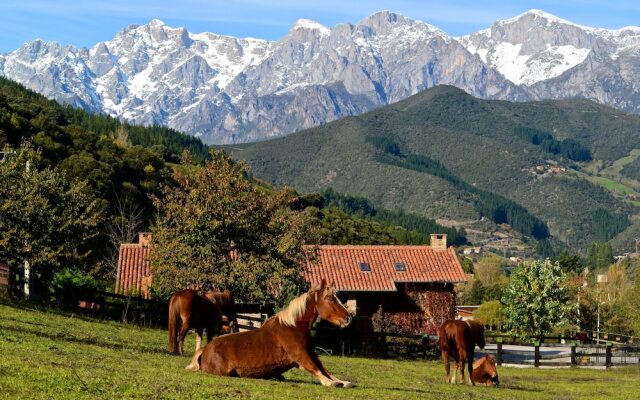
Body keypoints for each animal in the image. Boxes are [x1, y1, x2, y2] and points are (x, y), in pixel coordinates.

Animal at [185, 278, 356, 388]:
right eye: (330, 298)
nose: (348, 318)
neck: (294, 327)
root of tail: (205, 349)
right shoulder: (301, 356)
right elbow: (317, 371)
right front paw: (332, 383)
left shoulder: (312, 354)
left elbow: (326, 371)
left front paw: (344, 382)